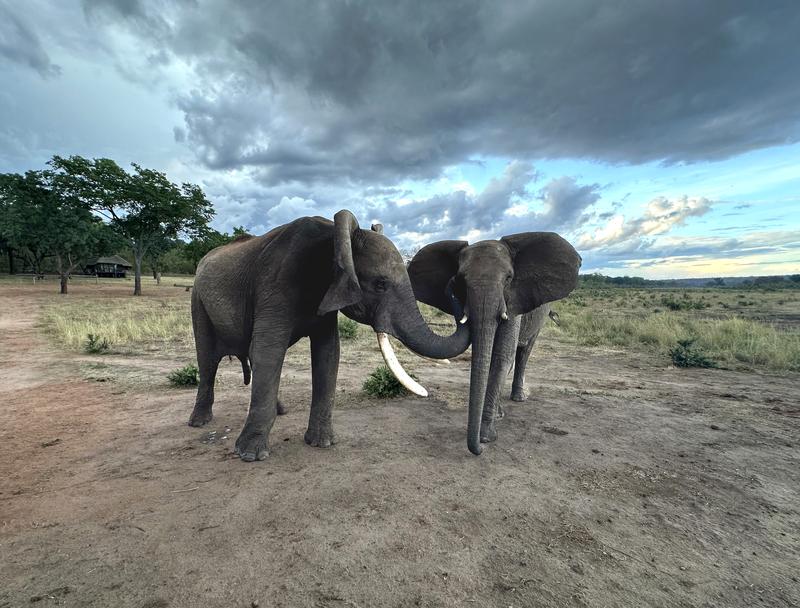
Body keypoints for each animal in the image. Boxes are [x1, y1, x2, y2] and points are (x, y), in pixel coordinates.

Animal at [189, 210, 468, 460]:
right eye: (380, 284)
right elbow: (268, 351)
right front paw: (250, 455)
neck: (333, 237)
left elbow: (328, 353)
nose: (455, 283)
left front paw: (321, 443)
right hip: (197, 299)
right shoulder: (275, 284)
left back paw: (281, 411)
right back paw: (199, 422)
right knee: (208, 359)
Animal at [410, 235, 580, 454]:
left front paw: (485, 437)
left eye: (508, 278)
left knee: (524, 352)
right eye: (461, 280)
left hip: (540, 318)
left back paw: (518, 398)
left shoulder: (514, 301)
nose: (479, 449)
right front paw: (490, 427)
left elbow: (501, 357)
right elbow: (487, 358)